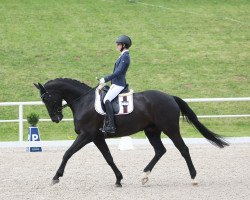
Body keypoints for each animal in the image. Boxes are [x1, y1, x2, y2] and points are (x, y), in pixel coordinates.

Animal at [34, 77, 229, 186]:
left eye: (47, 98)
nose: (56, 118)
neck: (84, 101)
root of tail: (170, 97)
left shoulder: (86, 135)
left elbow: (67, 153)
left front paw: (56, 177)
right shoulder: (97, 137)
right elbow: (109, 158)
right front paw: (119, 179)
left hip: (170, 129)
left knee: (183, 149)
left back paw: (194, 178)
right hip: (152, 131)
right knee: (160, 150)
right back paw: (144, 176)